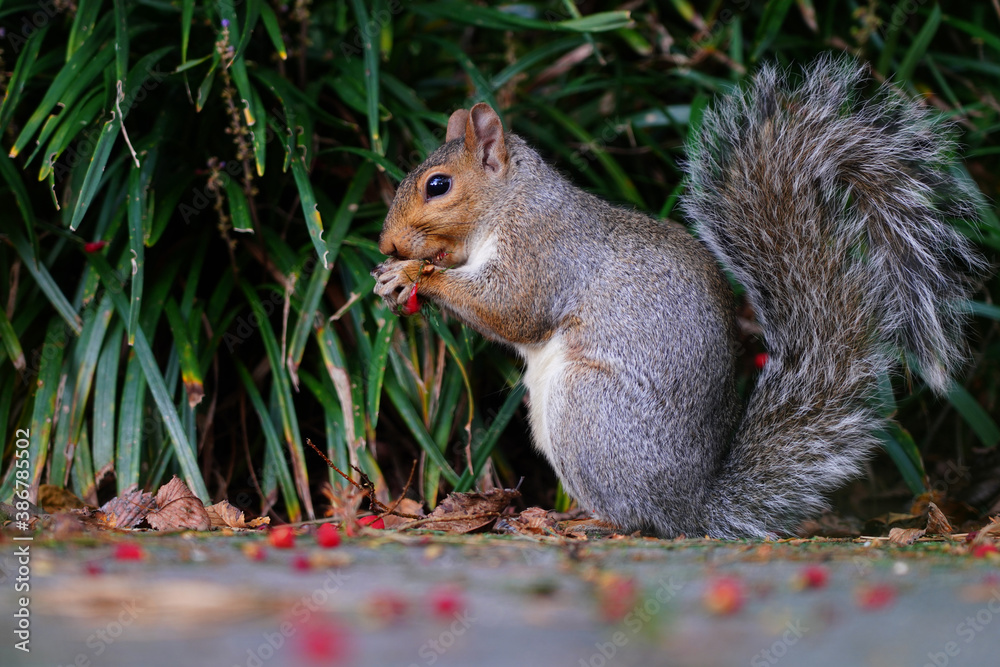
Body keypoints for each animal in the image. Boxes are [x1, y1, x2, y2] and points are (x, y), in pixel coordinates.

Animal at [372, 56, 986, 538]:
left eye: (438, 185)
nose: (386, 243)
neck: (508, 204)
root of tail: (690, 508)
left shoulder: (544, 251)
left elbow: (512, 308)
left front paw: (417, 275)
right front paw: (395, 273)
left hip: (589, 408)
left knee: (635, 518)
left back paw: (587, 520)